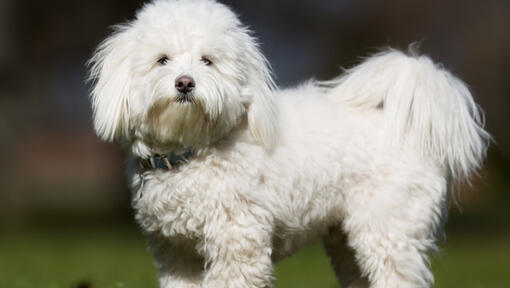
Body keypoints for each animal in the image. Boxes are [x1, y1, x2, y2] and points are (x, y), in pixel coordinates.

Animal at [87, 0, 490, 288]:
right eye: (162, 60)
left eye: (208, 61)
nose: (185, 82)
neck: (193, 151)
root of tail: (409, 126)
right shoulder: (177, 253)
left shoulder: (237, 243)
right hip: (346, 241)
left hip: (388, 229)